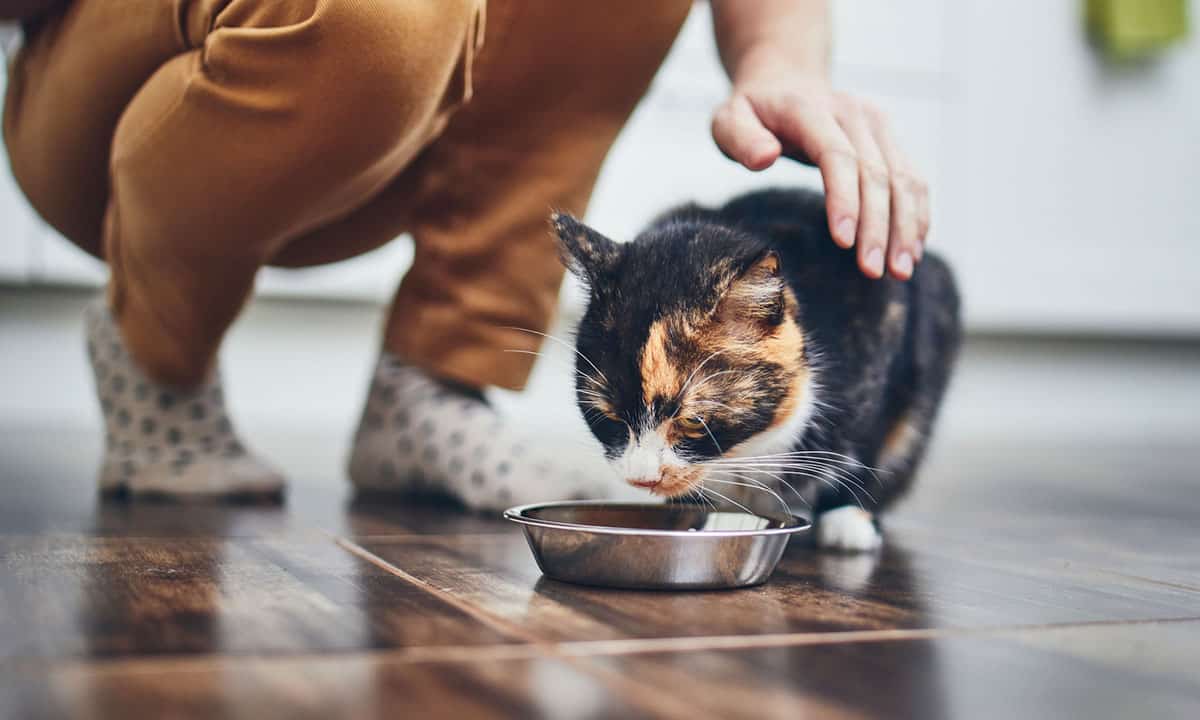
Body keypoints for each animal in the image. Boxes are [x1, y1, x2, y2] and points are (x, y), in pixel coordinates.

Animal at [554, 187, 964, 552]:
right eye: (607, 416)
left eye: (693, 421)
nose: (642, 478)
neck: (744, 452)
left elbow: (867, 440)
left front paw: (848, 516)